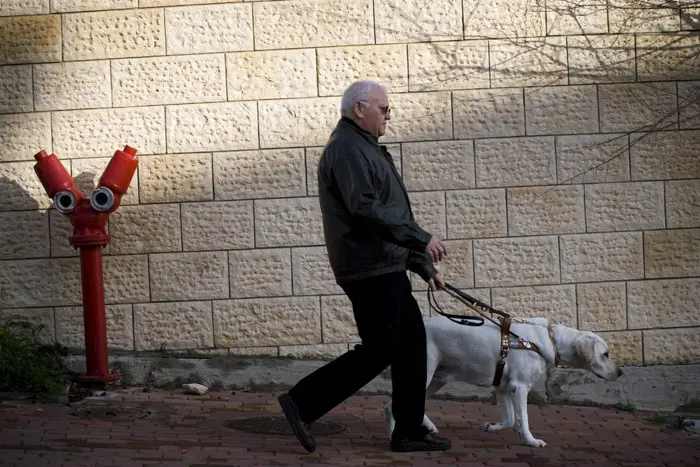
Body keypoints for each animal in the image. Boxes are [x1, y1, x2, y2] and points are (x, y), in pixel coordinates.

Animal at [382, 316, 624, 448]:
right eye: (605, 354)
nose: (620, 372)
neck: (549, 341)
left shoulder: (503, 388)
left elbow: (509, 420)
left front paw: (491, 426)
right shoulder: (520, 387)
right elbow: (522, 419)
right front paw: (532, 441)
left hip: (436, 378)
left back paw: (428, 427)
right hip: (424, 372)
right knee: (391, 406)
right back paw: (396, 436)